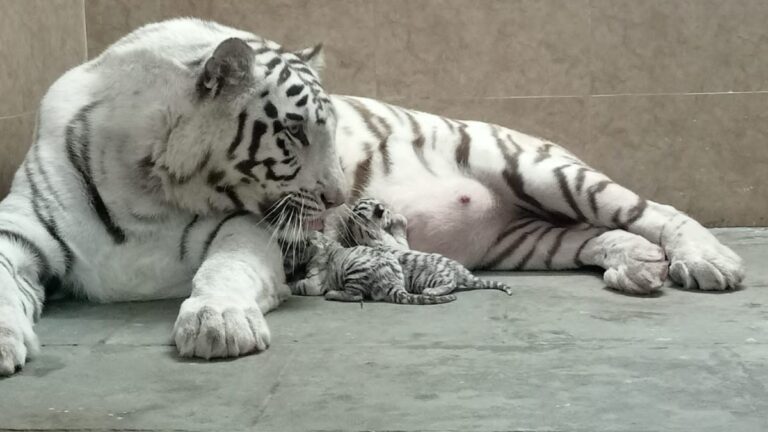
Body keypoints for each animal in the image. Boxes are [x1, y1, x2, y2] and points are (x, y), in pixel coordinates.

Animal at [0, 18, 744, 374]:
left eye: (329, 129)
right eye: (293, 132)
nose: (337, 196)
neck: (146, 182)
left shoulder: (247, 228)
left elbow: (225, 271)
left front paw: (217, 323)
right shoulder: (20, 230)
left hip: (542, 171)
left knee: (651, 211)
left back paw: (708, 263)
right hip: (529, 239)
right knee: (596, 235)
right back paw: (637, 269)